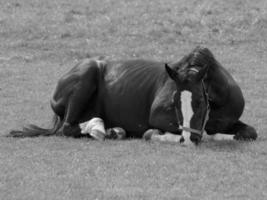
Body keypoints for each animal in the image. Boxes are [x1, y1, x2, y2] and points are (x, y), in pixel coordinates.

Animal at [9, 46, 258, 145]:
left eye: (199, 101)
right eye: (173, 102)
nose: (189, 140)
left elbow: (249, 132)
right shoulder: (158, 116)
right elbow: (155, 130)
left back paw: (114, 131)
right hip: (86, 74)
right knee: (68, 128)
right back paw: (101, 129)